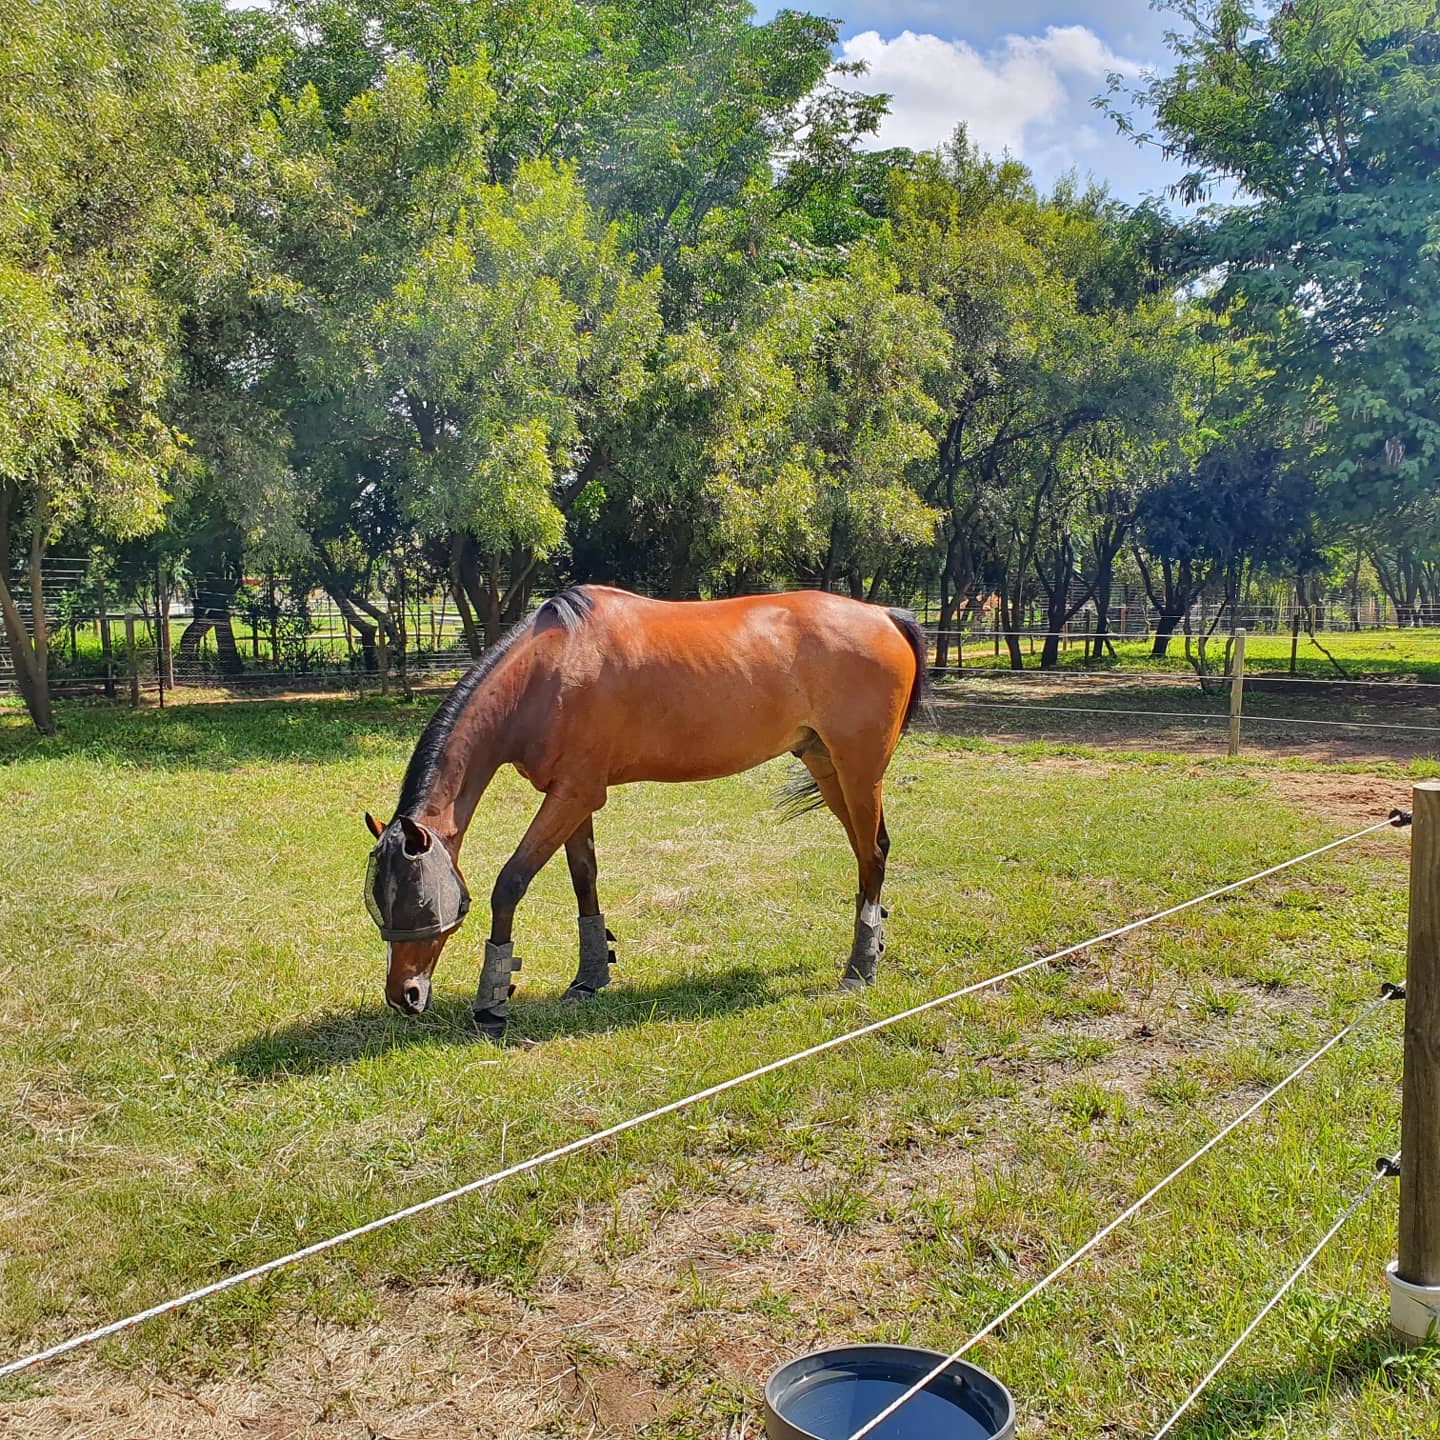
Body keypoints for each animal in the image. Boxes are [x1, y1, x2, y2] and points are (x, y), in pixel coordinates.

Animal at [363, 585, 927, 1038]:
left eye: (419, 902)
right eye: (378, 903)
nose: (403, 996)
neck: (553, 667)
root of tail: (885, 615)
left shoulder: (572, 795)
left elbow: (511, 883)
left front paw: (491, 1006)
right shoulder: (575, 795)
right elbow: (584, 879)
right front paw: (590, 978)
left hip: (858, 771)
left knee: (873, 854)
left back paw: (858, 970)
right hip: (825, 764)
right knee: (868, 852)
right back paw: (873, 945)